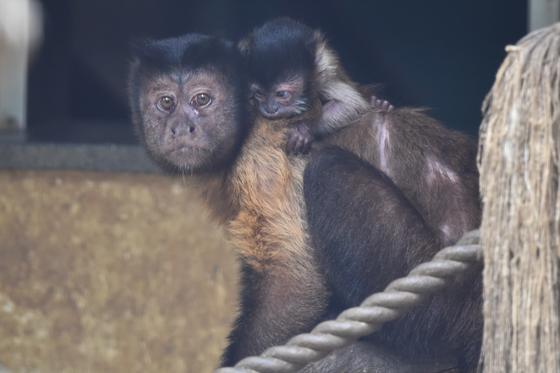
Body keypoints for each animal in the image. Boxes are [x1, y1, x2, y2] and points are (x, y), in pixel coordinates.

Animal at [238, 17, 370, 154]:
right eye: (259, 94)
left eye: (281, 94)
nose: (270, 109)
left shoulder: (324, 69)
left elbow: (352, 105)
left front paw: (301, 130)